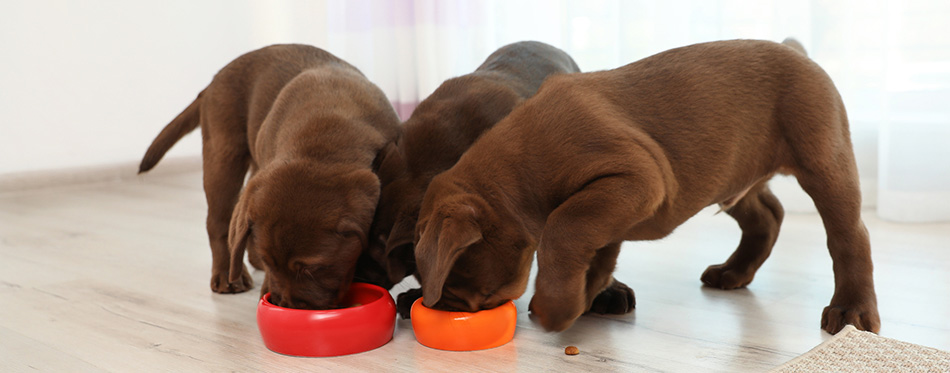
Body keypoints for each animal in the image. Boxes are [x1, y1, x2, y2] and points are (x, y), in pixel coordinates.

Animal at [139, 43, 400, 308]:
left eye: (312, 268)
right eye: (270, 261)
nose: (283, 305)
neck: (326, 137)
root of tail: (212, 83)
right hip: (223, 153)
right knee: (219, 223)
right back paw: (227, 275)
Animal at [416, 39, 884, 332]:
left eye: (451, 267)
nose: (436, 305)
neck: (521, 167)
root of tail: (795, 50)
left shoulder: (635, 178)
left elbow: (563, 228)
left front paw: (555, 308)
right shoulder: (615, 201)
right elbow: (597, 250)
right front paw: (584, 297)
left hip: (824, 160)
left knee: (849, 235)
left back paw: (851, 309)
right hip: (733, 174)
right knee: (767, 215)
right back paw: (733, 272)